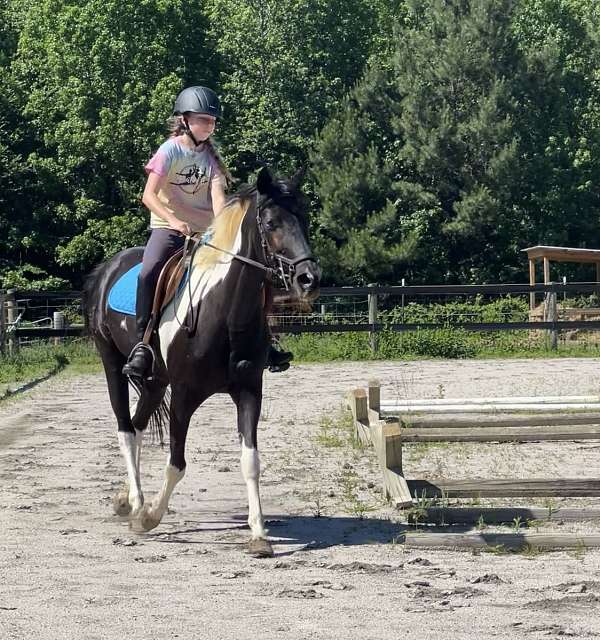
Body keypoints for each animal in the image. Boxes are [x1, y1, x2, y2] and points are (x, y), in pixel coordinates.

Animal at [83, 167, 320, 557]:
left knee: (137, 424)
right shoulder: (184, 394)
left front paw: (259, 535)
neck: (222, 312)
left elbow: (250, 462)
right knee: (124, 428)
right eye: (271, 223)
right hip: (112, 363)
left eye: (304, 219)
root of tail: (105, 269)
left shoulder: (249, 390)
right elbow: (176, 464)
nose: (309, 279)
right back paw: (137, 503)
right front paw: (150, 517)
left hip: (155, 381)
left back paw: (125, 498)